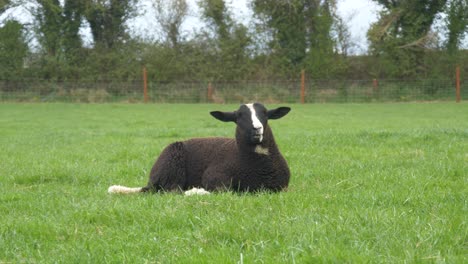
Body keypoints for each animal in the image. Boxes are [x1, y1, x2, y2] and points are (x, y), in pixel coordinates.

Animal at [109, 103, 290, 196]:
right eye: (238, 116)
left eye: (265, 113)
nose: (257, 129)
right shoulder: (213, 176)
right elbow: (222, 191)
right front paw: (196, 191)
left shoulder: (283, 188)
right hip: (171, 167)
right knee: (171, 191)